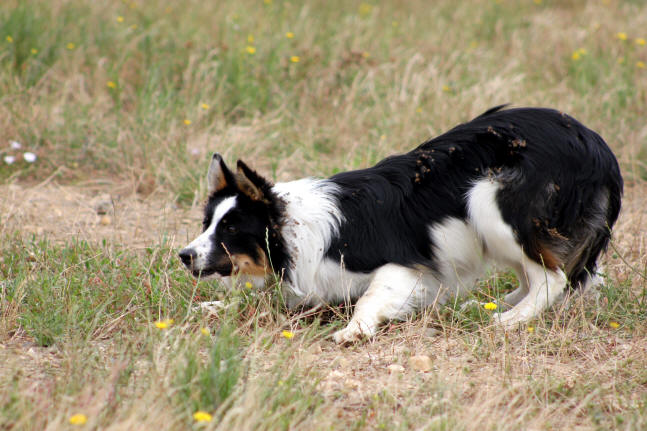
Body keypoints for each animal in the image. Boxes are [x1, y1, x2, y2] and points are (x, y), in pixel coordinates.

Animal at [178, 107, 624, 344]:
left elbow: (370, 297)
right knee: (536, 275)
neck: (294, 230)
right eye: (207, 223)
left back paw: (509, 320)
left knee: (552, 277)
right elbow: (260, 299)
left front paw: (353, 330)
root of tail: (597, 145)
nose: (183, 256)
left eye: (232, 230)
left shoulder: (404, 267)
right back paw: (495, 305)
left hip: (489, 202)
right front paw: (215, 307)